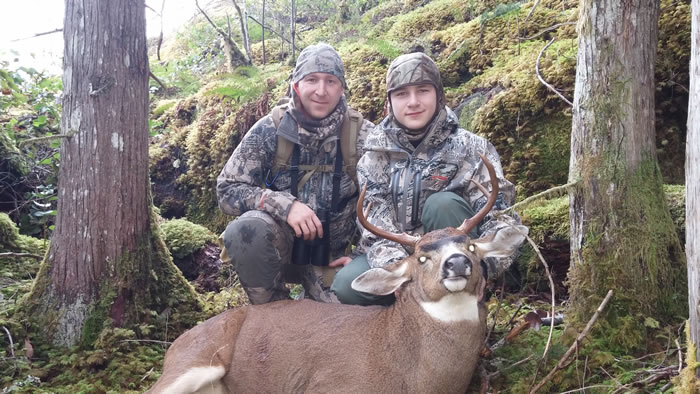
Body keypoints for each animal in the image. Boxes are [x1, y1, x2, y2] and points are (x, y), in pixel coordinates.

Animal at [149, 155, 532, 394]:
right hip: (189, 361)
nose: (456, 263)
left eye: (471, 247)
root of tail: (178, 341)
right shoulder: (326, 383)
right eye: (422, 257)